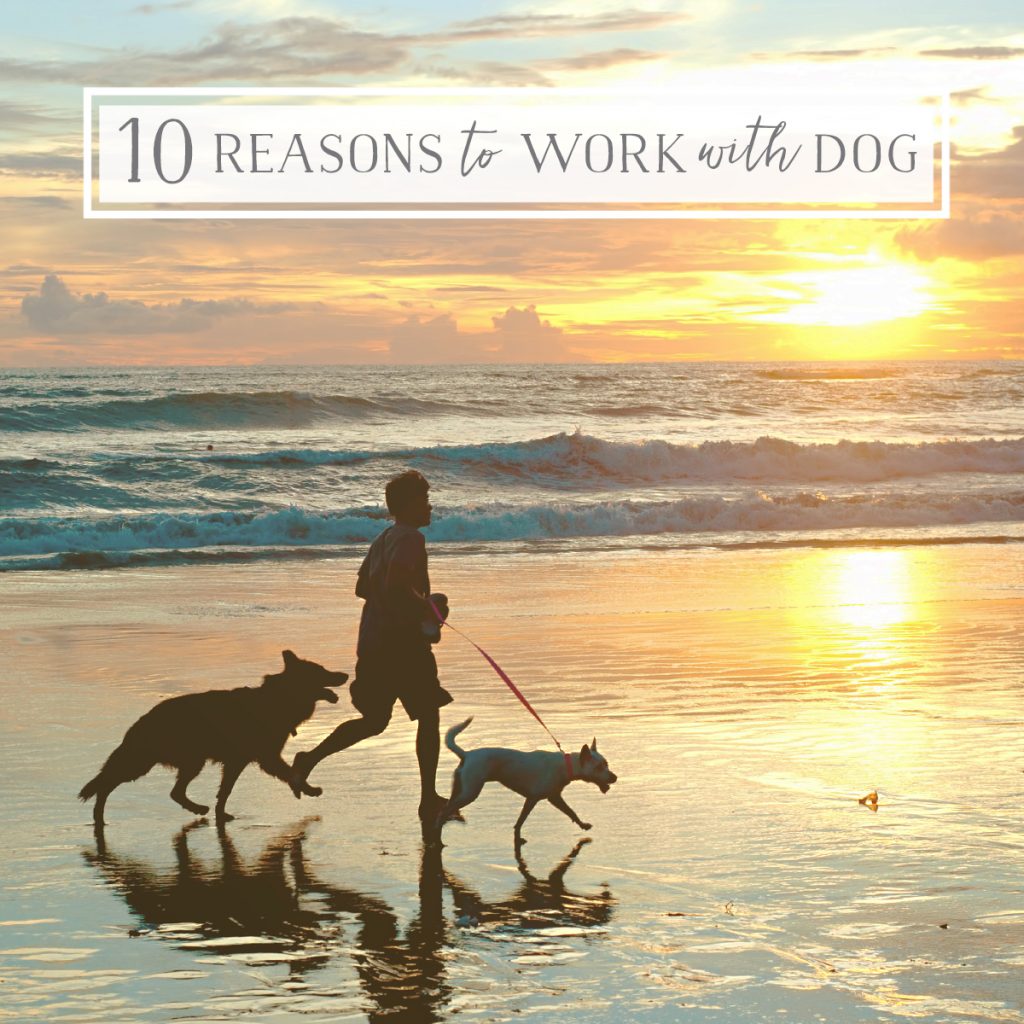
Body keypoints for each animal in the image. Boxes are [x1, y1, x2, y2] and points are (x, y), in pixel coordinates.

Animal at [438, 716, 614, 843]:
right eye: (599, 767)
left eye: (606, 764)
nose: (615, 777)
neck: (566, 766)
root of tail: (466, 754)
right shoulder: (533, 799)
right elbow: (521, 820)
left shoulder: (554, 797)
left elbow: (571, 811)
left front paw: (582, 825)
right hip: (470, 792)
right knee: (443, 812)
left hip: (460, 789)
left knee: (447, 807)